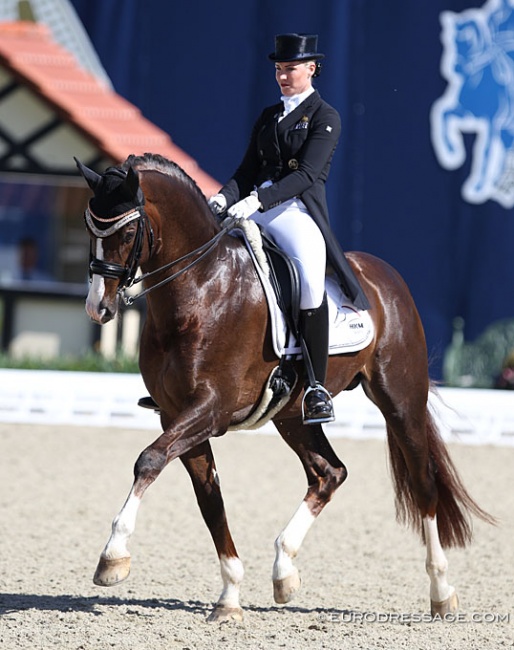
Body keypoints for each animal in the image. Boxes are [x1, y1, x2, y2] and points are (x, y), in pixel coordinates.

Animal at [75, 153, 488, 624]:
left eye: (127, 232)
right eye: (90, 229)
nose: (98, 308)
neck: (201, 287)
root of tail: (384, 274)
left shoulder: (210, 410)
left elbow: (149, 460)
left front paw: (112, 557)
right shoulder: (175, 415)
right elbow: (209, 499)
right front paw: (229, 597)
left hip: (401, 401)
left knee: (423, 485)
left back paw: (441, 592)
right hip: (293, 415)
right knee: (329, 473)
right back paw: (284, 570)